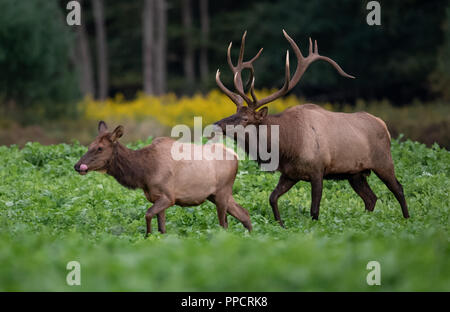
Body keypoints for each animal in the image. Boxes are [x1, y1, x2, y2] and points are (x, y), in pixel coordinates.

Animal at [72, 120, 251, 235]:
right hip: (215, 195)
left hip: (222, 191)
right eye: (89, 146)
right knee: (244, 214)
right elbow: (162, 228)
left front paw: (147, 236)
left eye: (100, 148)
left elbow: (148, 215)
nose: (77, 166)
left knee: (224, 224)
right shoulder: (156, 197)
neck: (143, 173)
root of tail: (236, 157)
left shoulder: (168, 196)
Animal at [216, 30, 410, 225]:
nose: (217, 124)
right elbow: (272, 198)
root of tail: (383, 124)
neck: (287, 147)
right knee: (371, 198)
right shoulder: (290, 174)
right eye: (234, 112)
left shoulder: (318, 170)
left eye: (245, 118)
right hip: (356, 173)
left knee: (398, 188)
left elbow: (314, 210)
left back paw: (407, 220)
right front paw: (281, 225)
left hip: (383, 161)